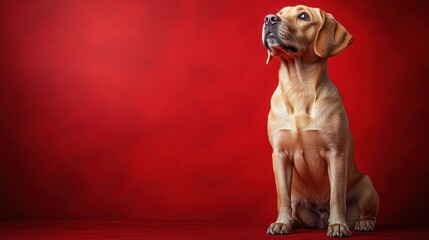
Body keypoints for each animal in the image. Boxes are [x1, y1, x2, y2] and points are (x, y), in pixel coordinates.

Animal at [260, 4, 378, 237]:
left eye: (303, 16)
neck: (298, 89)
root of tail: (319, 219)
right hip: (297, 193)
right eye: (280, 12)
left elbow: (336, 196)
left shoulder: (336, 154)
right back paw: (293, 221)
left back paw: (364, 222)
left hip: (367, 185)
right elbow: (282, 197)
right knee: (293, 204)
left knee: (366, 212)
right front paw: (281, 222)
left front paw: (338, 225)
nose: (269, 19)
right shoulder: (279, 155)